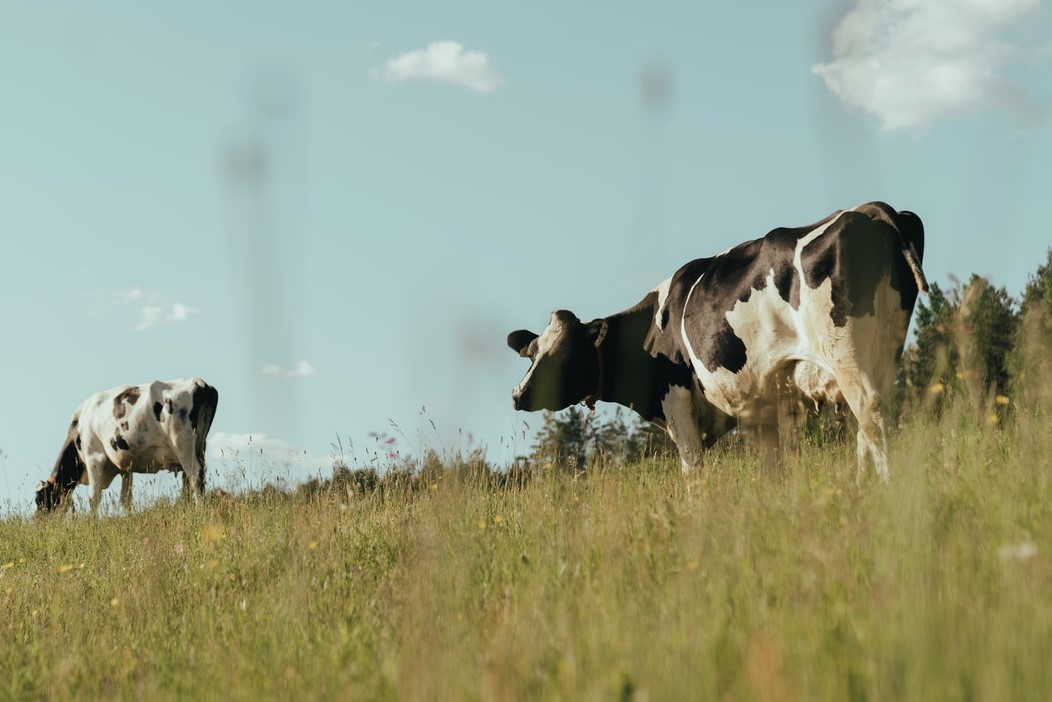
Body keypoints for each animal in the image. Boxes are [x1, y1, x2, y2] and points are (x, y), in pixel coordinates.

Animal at [35, 376, 219, 513]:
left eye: (40, 500)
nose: (37, 521)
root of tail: (200, 383)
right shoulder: (125, 467)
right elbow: (125, 499)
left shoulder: (94, 457)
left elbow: (94, 497)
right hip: (199, 447)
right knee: (191, 479)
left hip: (182, 446)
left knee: (195, 475)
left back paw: (200, 509)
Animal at [509, 199, 929, 479]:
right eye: (531, 354)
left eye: (563, 355)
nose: (518, 395)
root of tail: (870, 211)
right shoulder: (763, 408)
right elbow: (773, 469)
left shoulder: (676, 400)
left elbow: (692, 469)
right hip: (885, 349)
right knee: (868, 422)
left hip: (847, 354)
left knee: (872, 413)